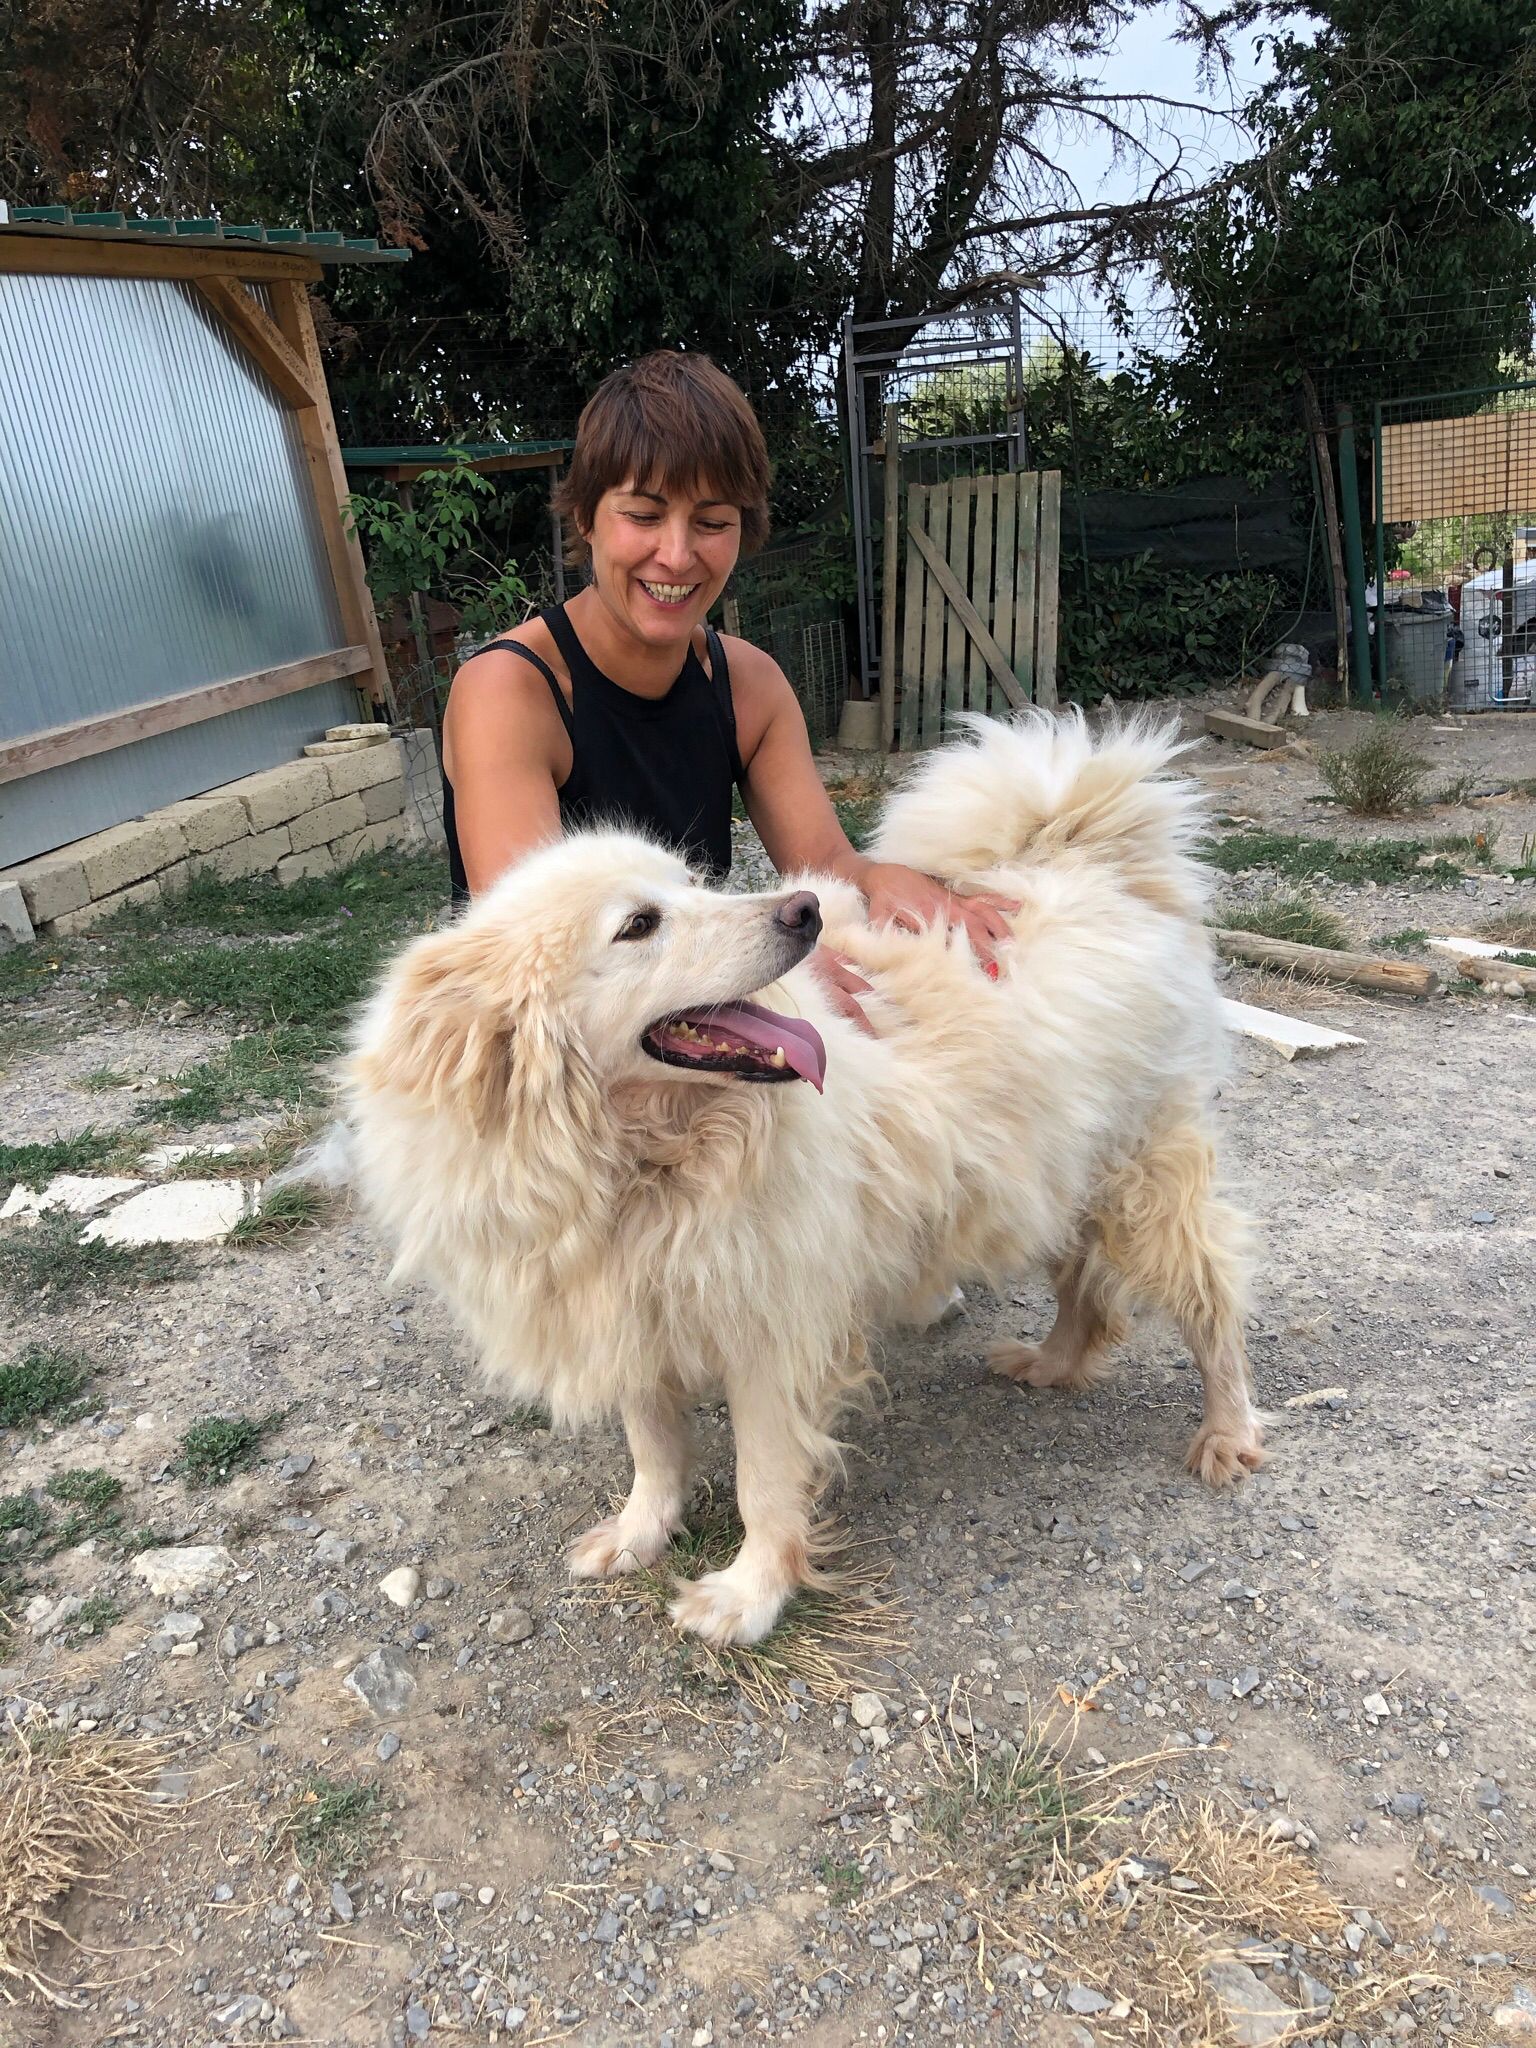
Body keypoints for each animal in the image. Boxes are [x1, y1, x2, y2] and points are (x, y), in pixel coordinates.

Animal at [341, 712, 1263, 1647]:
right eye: (639, 924)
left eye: (691, 882)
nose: (806, 909)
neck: (640, 1164)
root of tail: (1082, 856)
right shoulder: (626, 1309)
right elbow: (653, 1448)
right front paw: (640, 1535)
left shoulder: (770, 1328)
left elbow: (762, 1481)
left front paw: (748, 1597)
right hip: (1050, 1174)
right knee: (1087, 1291)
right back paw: (1051, 1363)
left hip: (1143, 1182)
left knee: (1212, 1304)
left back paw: (1227, 1431)